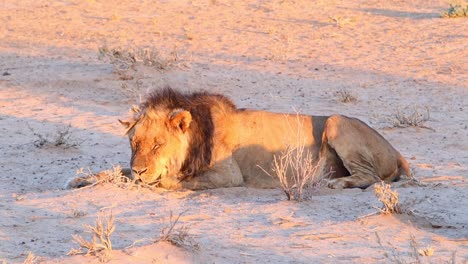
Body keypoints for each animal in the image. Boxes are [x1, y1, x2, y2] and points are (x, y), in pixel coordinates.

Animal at [115, 88, 412, 190]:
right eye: (133, 144)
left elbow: (171, 180)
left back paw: (336, 182)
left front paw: (152, 180)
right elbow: (117, 170)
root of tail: (396, 151)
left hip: (336, 120)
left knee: (369, 177)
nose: (139, 170)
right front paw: (121, 175)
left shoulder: (229, 175)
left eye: (158, 145)